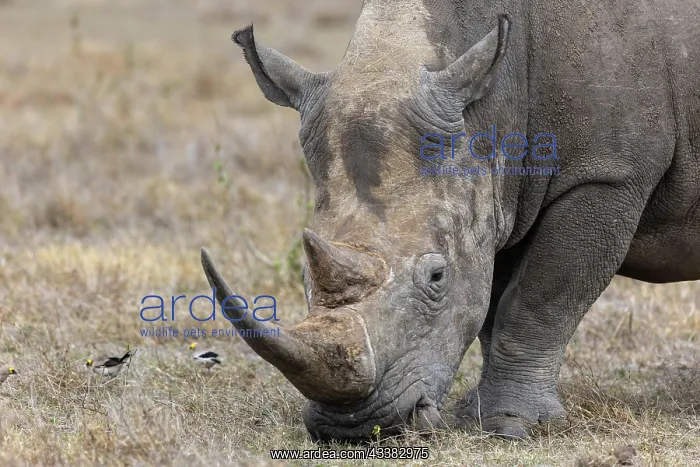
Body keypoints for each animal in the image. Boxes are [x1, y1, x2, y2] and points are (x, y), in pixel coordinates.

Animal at [201, 0, 700, 441]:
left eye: (437, 277)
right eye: (303, 276)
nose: (354, 428)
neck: (490, 106)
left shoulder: (608, 174)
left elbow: (540, 300)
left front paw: (511, 428)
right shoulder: (500, 196)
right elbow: (491, 304)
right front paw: (474, 417)